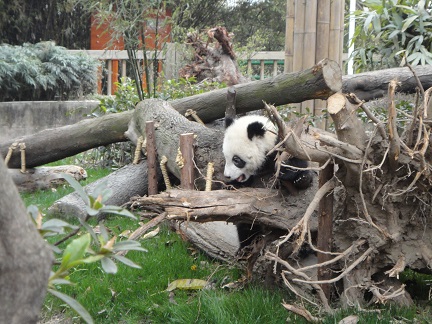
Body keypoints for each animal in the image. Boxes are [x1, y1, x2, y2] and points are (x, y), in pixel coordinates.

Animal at [223, 115, 314, 249]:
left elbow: (297, 162)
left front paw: (289, 174)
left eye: (236, 160)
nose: (227, 176)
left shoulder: (282, 146)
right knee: (246, 227)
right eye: (226, 157)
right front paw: (231, 186)